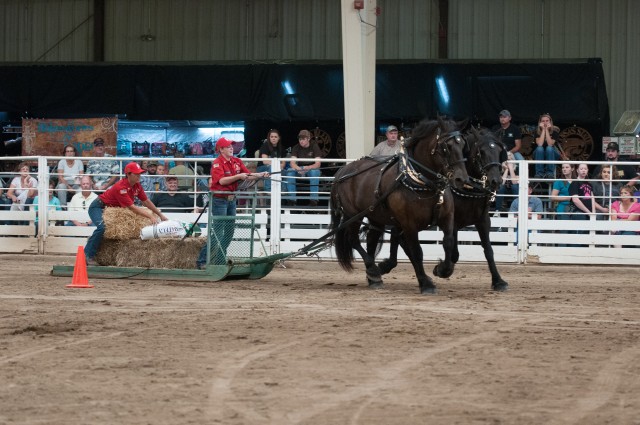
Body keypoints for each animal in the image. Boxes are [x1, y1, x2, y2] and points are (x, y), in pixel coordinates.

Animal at [330, 117, 470, 294]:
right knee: (353, 240)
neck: (424, 183)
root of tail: (342, 171)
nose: (461, 179)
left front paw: (442, 270)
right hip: (352, 215)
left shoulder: (447, 217)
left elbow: (449, 242)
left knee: (371, 240)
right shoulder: (408, 224)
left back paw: (373, 278)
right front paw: (426, 283)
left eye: (463, 144)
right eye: (446, 146)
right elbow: (416, 252)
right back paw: (373, 270)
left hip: (376, 216)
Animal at [378, 126, 508, 292]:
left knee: (398, 235)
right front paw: (440, 269)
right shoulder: (452, 221)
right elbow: (454, 253)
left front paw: (498, 281)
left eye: (500, 150)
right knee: (399, 235)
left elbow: (488, 250)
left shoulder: (482, 220)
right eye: (481, 152)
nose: (496, 180)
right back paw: (389, 266)